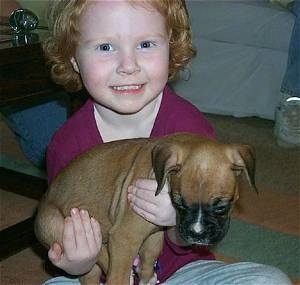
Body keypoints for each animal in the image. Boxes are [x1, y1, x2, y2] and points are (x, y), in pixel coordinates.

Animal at [34, 133, 256, 284]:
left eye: (222, 206)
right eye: (179, 202)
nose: (197, 234)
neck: (162, 177)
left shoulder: (154, 231)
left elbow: (152, 252)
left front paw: (147, 275)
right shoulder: (125, 237)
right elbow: (118, 275)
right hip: (60, 228)